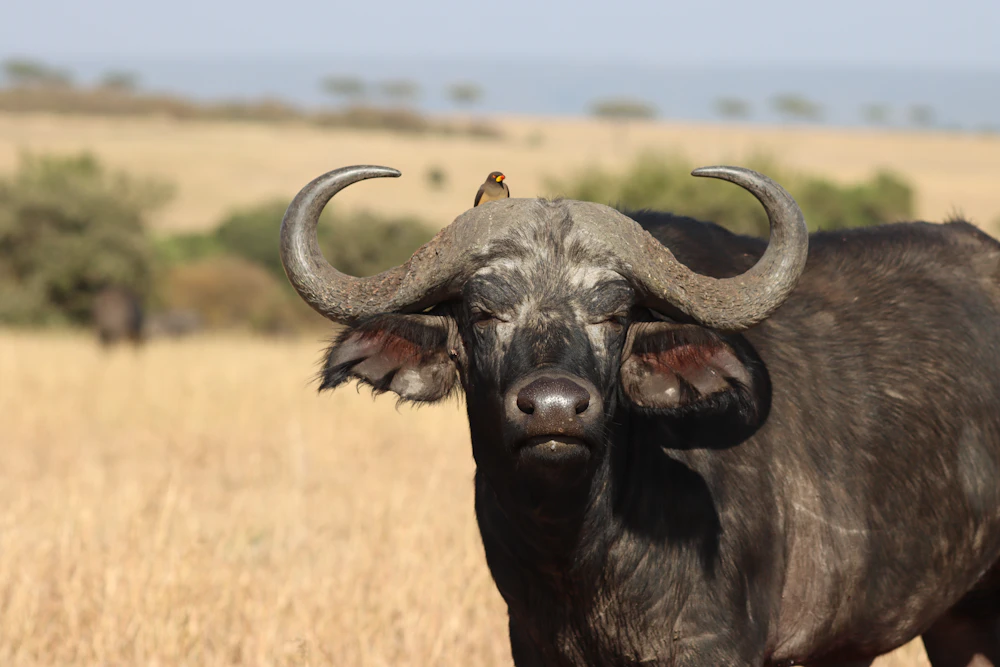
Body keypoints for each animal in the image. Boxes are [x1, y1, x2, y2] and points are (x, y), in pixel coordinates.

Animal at [280, 165, 1000, 666]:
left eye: (615, 314)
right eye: (483, 313)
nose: (554, 407)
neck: (583, 549)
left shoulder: (712, 646)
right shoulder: (532, 642)